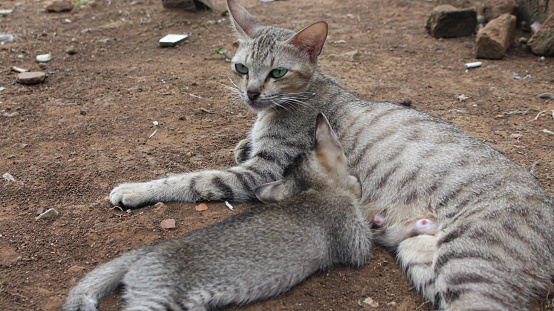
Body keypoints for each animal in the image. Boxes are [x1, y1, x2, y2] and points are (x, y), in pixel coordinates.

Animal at [109, 0, 552, 310]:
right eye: (240, 68)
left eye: (277, 72)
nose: (250, 94)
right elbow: (240, 145)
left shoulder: (260, 172)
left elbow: (192, 179)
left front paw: (133, 190)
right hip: (422, 258)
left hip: (468, 262)